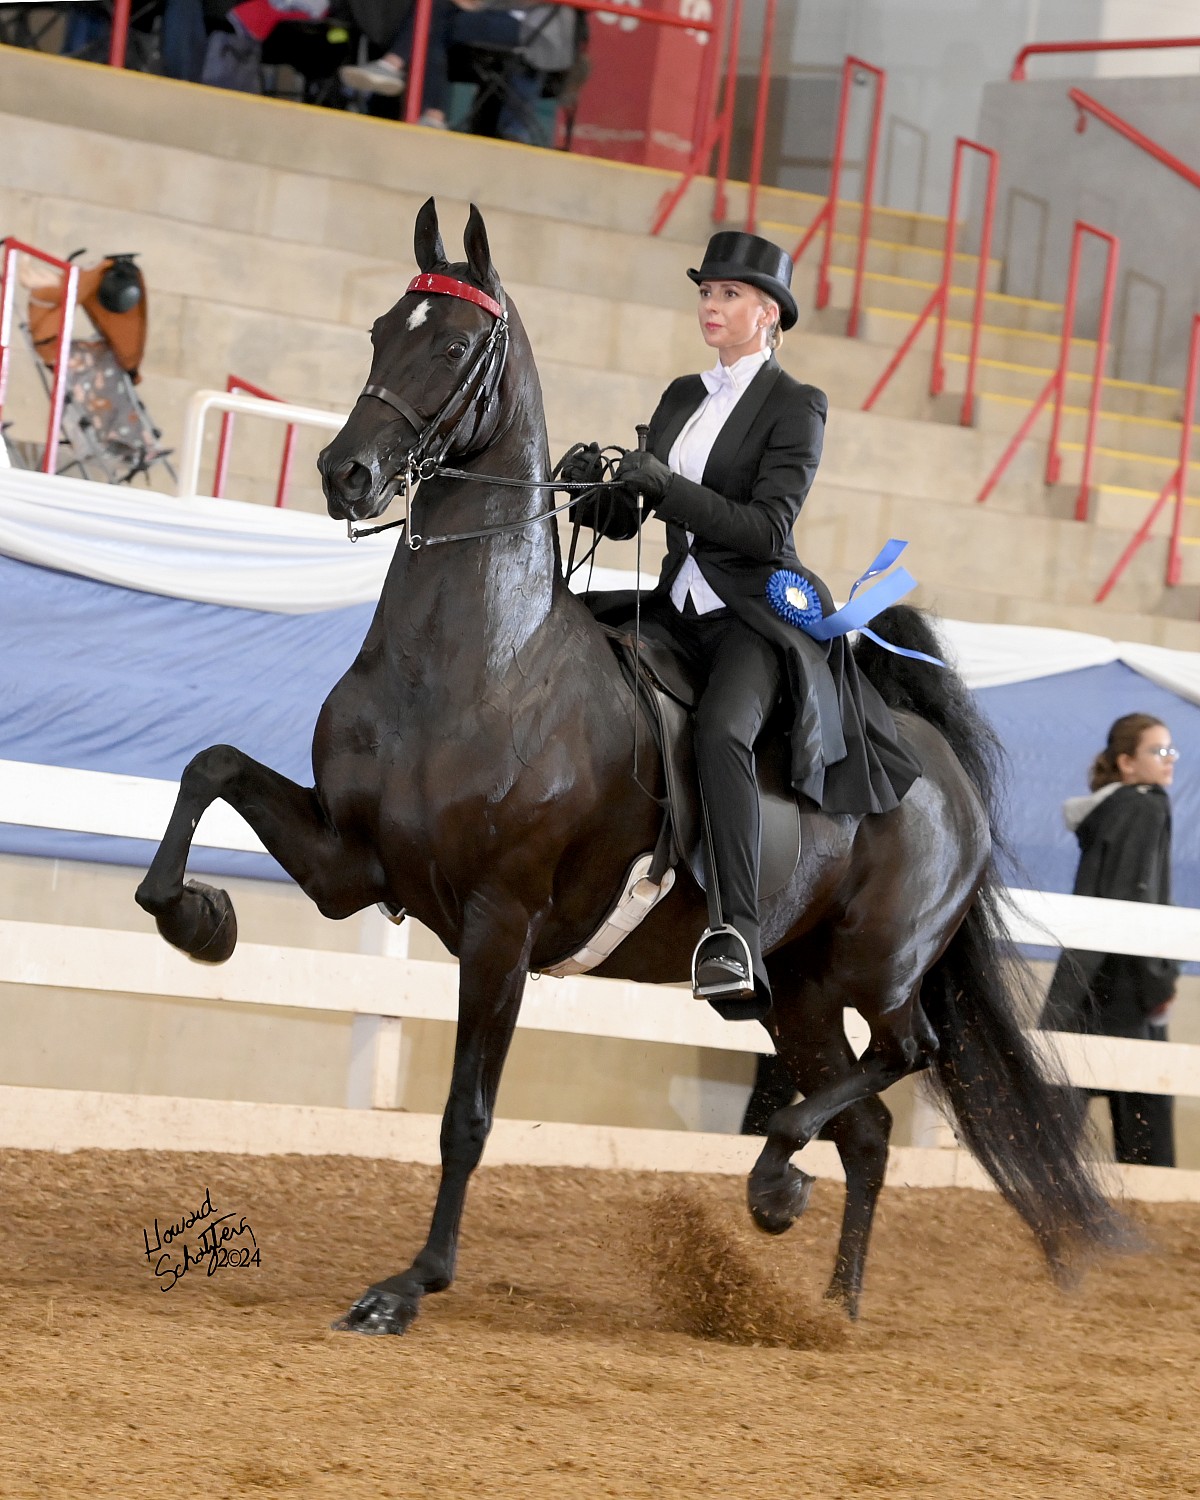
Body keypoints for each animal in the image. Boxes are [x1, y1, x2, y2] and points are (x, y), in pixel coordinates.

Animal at [135, 199, 1122, 1338]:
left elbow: (466, 1113)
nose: (347, 475)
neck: (475, 661)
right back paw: (825, 1301)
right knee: (868, 1129)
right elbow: (209, 768)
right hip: (799, 990)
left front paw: (409, 1285)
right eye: (383, 330)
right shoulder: (355, 865)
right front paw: (198, 919)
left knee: (905, 1058)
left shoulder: (500, 924)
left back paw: (779, 1179)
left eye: (459, 347)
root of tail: (939, 766)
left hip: (877, 966)